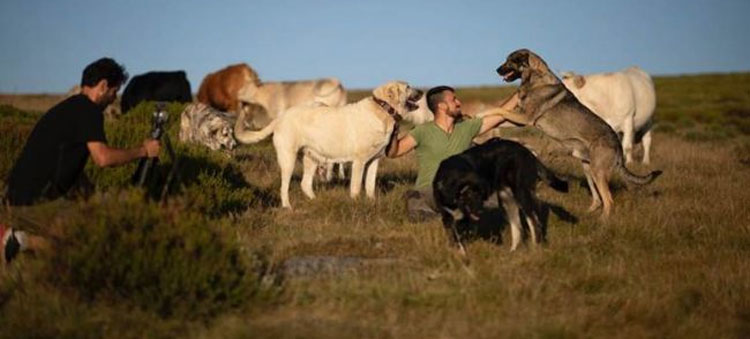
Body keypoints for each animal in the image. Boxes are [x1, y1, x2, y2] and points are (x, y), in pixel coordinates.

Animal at [235, 81, 424, 209]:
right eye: (407, 87)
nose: (422, 91)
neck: (383, 110)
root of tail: (281, 117)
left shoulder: (374, 161)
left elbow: (370, 186)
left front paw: (372, 203)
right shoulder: (359, 162)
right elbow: (356, 187)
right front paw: (357, 205)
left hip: (312, 158)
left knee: (305, 184)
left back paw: (315, 201)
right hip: (288, 159)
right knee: (284, 186)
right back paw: (287, 206)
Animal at [434, 139, 568, 255]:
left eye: (481, 195)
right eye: (469, 194)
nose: (480, 211)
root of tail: (526, 151)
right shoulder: (447, 217)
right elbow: (455, 238)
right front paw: (460, 253)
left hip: (521, 193)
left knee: (534, 222)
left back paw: (535, 250)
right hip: (507, 199)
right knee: (518, 226)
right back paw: (513, 251)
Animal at [500, 49, 664, 220]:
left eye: (510, 61)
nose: (497, 70)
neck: (534, 77)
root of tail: (617, 144)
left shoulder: (525, 118)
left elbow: (498, 110)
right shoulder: (519, 119)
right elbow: (499, 114)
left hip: (598, 171)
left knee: (609, 200)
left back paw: (602, 221)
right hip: (588, 169)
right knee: (598, 199)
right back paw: (588, 213)